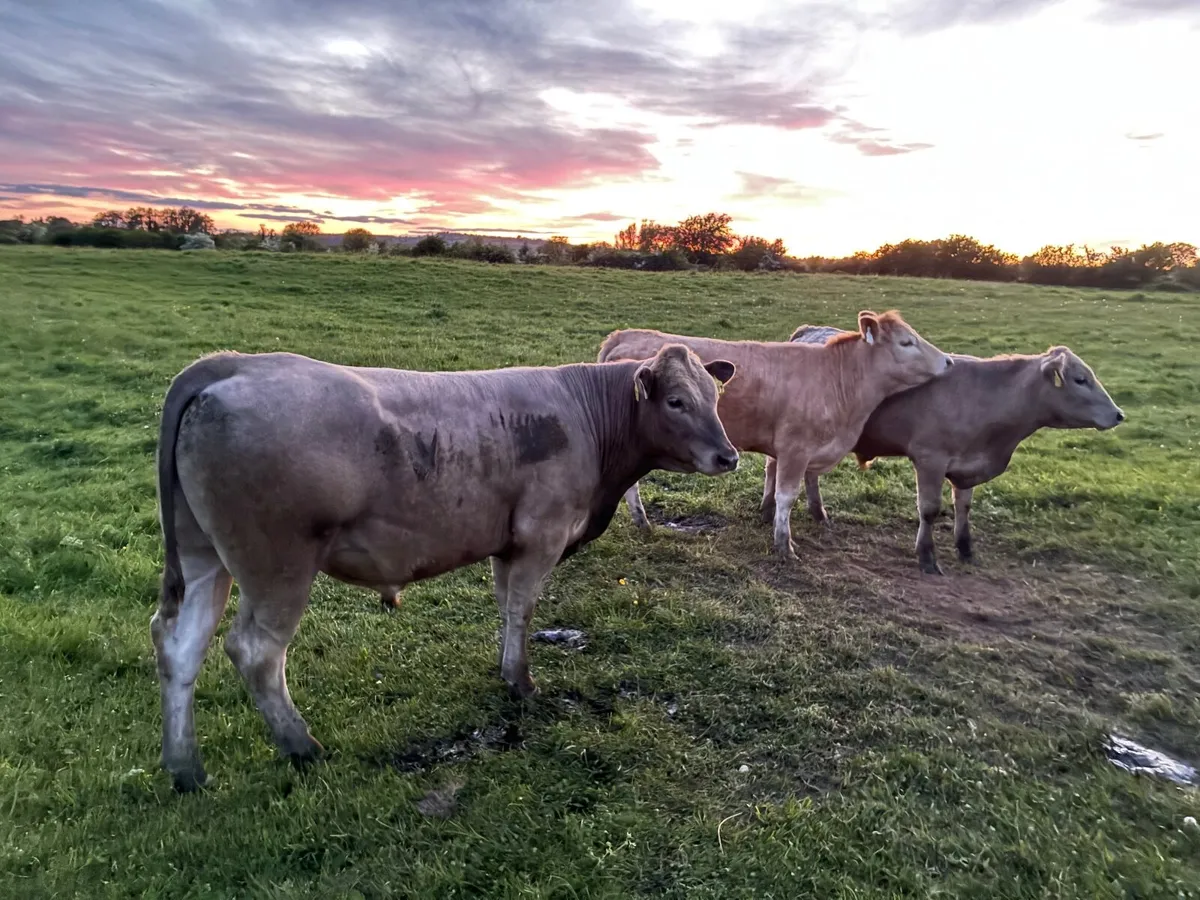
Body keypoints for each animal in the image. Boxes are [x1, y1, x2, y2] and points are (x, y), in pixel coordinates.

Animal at [151, 344, 738, 791]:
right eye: (677, 401)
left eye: (716, 398)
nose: (728, 457)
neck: (584, 415)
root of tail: (234, 364)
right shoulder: (542, 536)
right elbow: (523, 609)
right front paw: (521, 681)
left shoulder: (509, 545)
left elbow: (505, 607)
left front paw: (505, 669)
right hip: (278, 565)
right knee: (256, 652)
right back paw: (302, 746)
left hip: (205, 558)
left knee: (180, 645)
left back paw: (186, 769)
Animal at [597, 310, 953, 560]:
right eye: (906, 342)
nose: (949, 361)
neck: (837, 380)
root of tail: (623, 334)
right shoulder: (795, 449)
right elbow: (786, 496)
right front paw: (784, 544)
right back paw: (642, 522)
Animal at [789, 324, 1125, 573]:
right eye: (1080, 379)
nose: (1119, 414)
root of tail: (810, 330)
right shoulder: (930, 460)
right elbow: (929, 509)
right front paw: (926, 556)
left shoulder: (968, 466)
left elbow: (963, 507)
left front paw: (965, 548)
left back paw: (818, 512)